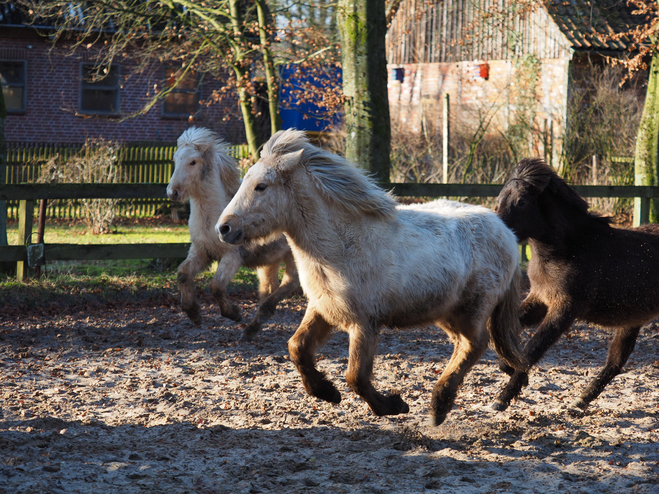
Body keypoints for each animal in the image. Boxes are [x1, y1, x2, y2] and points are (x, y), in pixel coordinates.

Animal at [166, 127, 300, 340]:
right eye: (175, 159)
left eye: (193, 161)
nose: (173, 192)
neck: (211, 219)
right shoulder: (201, 252)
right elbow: (183, 274)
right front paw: (194, 313)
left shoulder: (231, 257)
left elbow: (216, 286)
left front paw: (234, 314)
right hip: (269, 261)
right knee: (268, 288)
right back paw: (252, 329)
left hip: (293, 255)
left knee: (291, 283)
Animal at [219, 129, 528, 426]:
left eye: (261, 186)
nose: (223, 228)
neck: (342, 246)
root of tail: (506, 233)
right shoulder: (322, 309)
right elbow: (297, 348)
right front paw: (326, 392)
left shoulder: (364, 324)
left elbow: (355, 376)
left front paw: (393, 406)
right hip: (446, 313)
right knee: (464, 346)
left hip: (471, 310)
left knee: (474, 345)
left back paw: (438, 406)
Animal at [492, 158, 659, 412]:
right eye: (499, 199)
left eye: (522, 201)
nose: (499, 235)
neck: (570, 249)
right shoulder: (540, 299)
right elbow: (505, 333)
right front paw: (512, 370)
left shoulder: (565, 310)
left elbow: (533, 349)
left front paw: (502, 398)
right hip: (632, 320)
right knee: (616, 362)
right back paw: (580, 402)